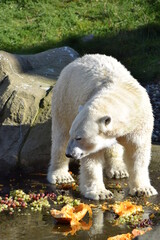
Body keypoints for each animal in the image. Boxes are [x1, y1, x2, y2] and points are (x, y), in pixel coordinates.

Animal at [47, 54, 158, 201]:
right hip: (64, 100)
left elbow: (137, 153)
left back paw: (118, 170)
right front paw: (100, 193)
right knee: (60, 137)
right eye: (74, 135)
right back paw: (61, 176)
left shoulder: (139, 123)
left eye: (79, 138)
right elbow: (92, 158)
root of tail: (79, 59)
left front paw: (144, 189)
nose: (69, 154)